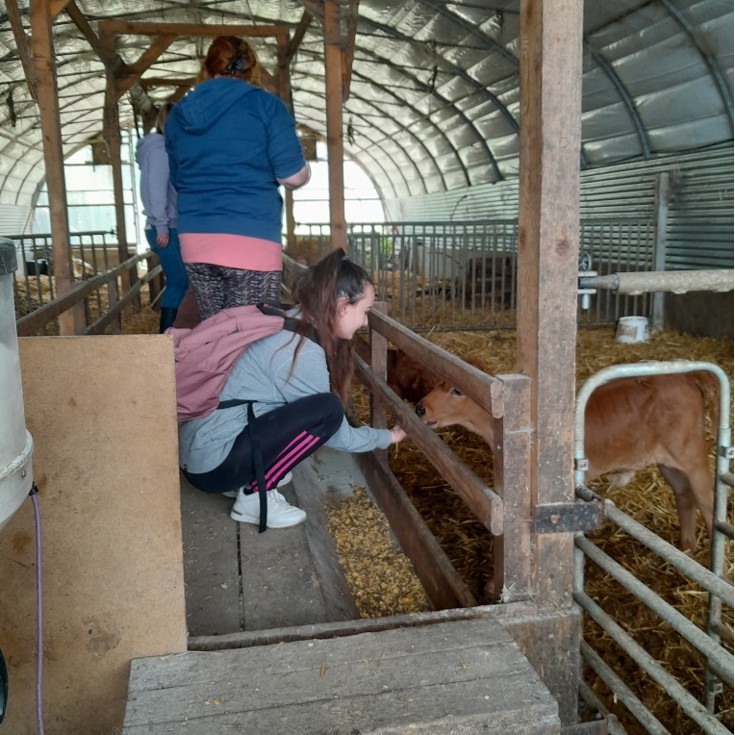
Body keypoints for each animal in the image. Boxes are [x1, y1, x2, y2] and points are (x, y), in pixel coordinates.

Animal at [416, 370, 720, 548]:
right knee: (684, 497)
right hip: (669, 463)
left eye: (457, 390)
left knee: (708, 502)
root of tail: (685, 376)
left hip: (692, 454)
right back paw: (686, 548)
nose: (419, 408)